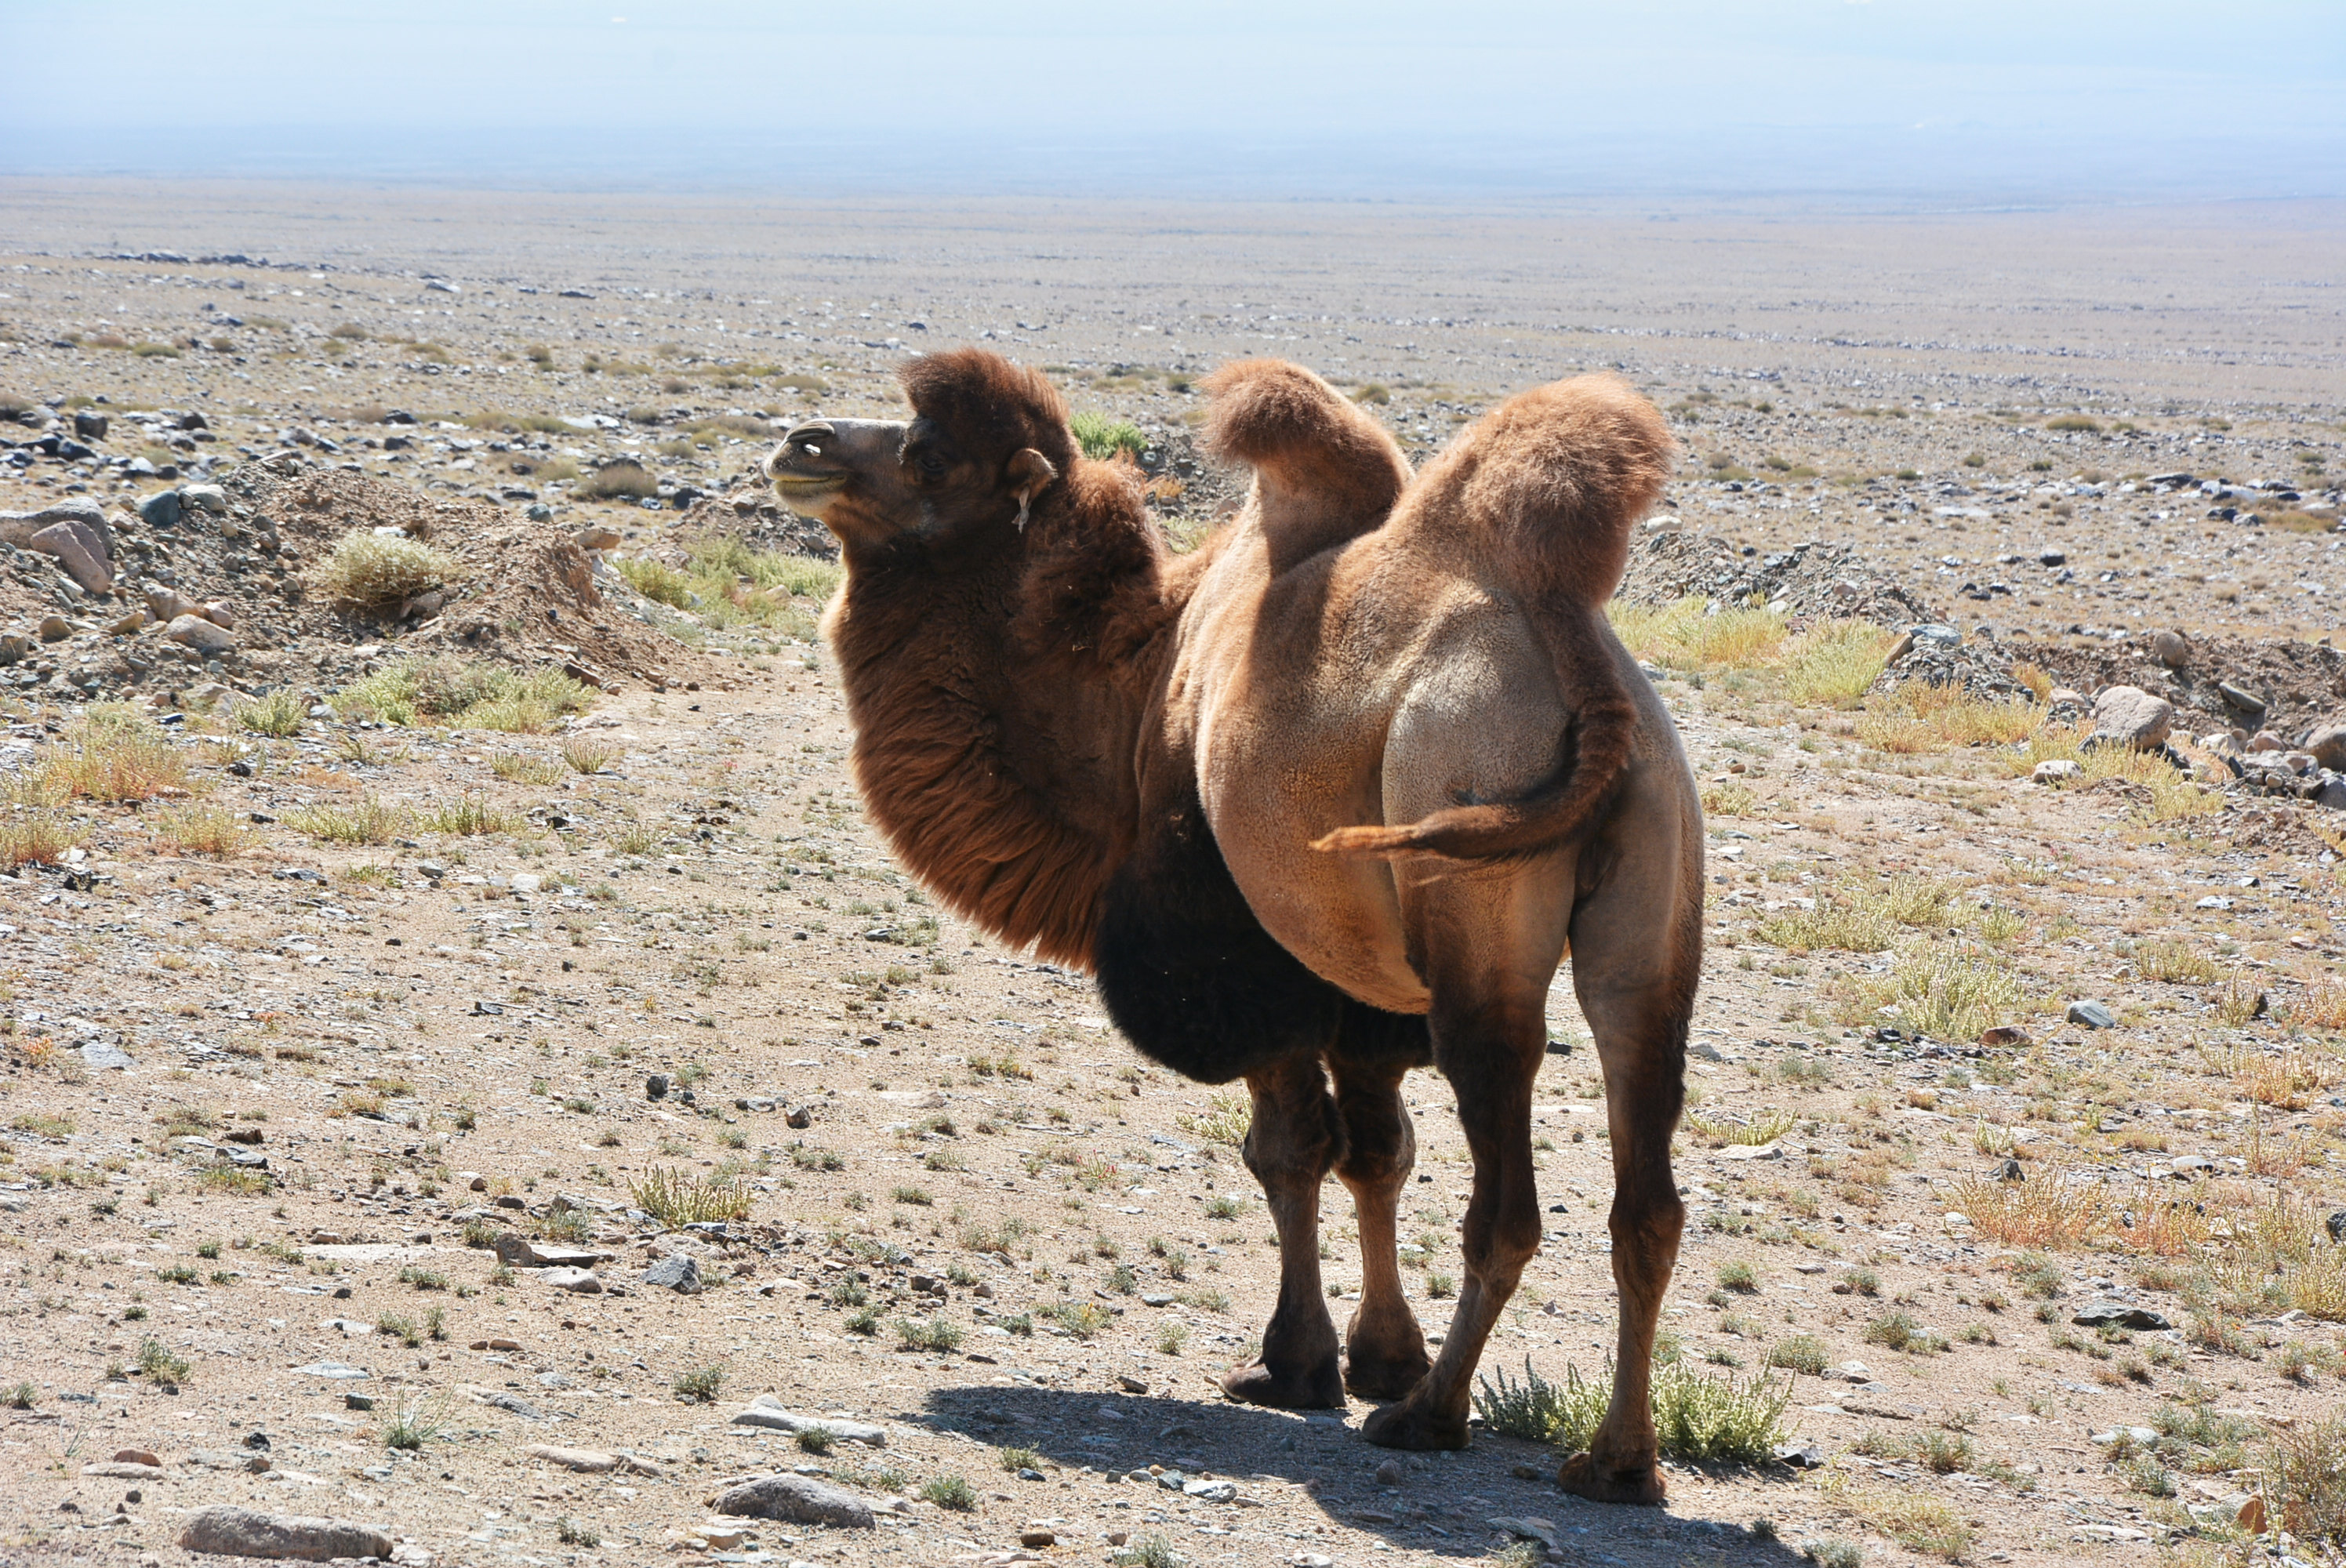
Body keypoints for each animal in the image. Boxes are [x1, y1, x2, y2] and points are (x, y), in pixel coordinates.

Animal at [769, 350, 1708, 1502]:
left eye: (928, 454)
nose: (801, 443)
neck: (1138, 678)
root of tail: (1580, 661)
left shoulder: (1242, 956)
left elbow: (1289, 1150)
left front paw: (1295, 1365)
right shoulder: (1354, 980)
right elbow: (1377, 1154)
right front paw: (1377, 1353)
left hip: (1468, 889)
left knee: (1507, 1198)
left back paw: (1432, 1417)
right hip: (1650, 911)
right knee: (1644, 1195)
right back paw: (1617, 1461)